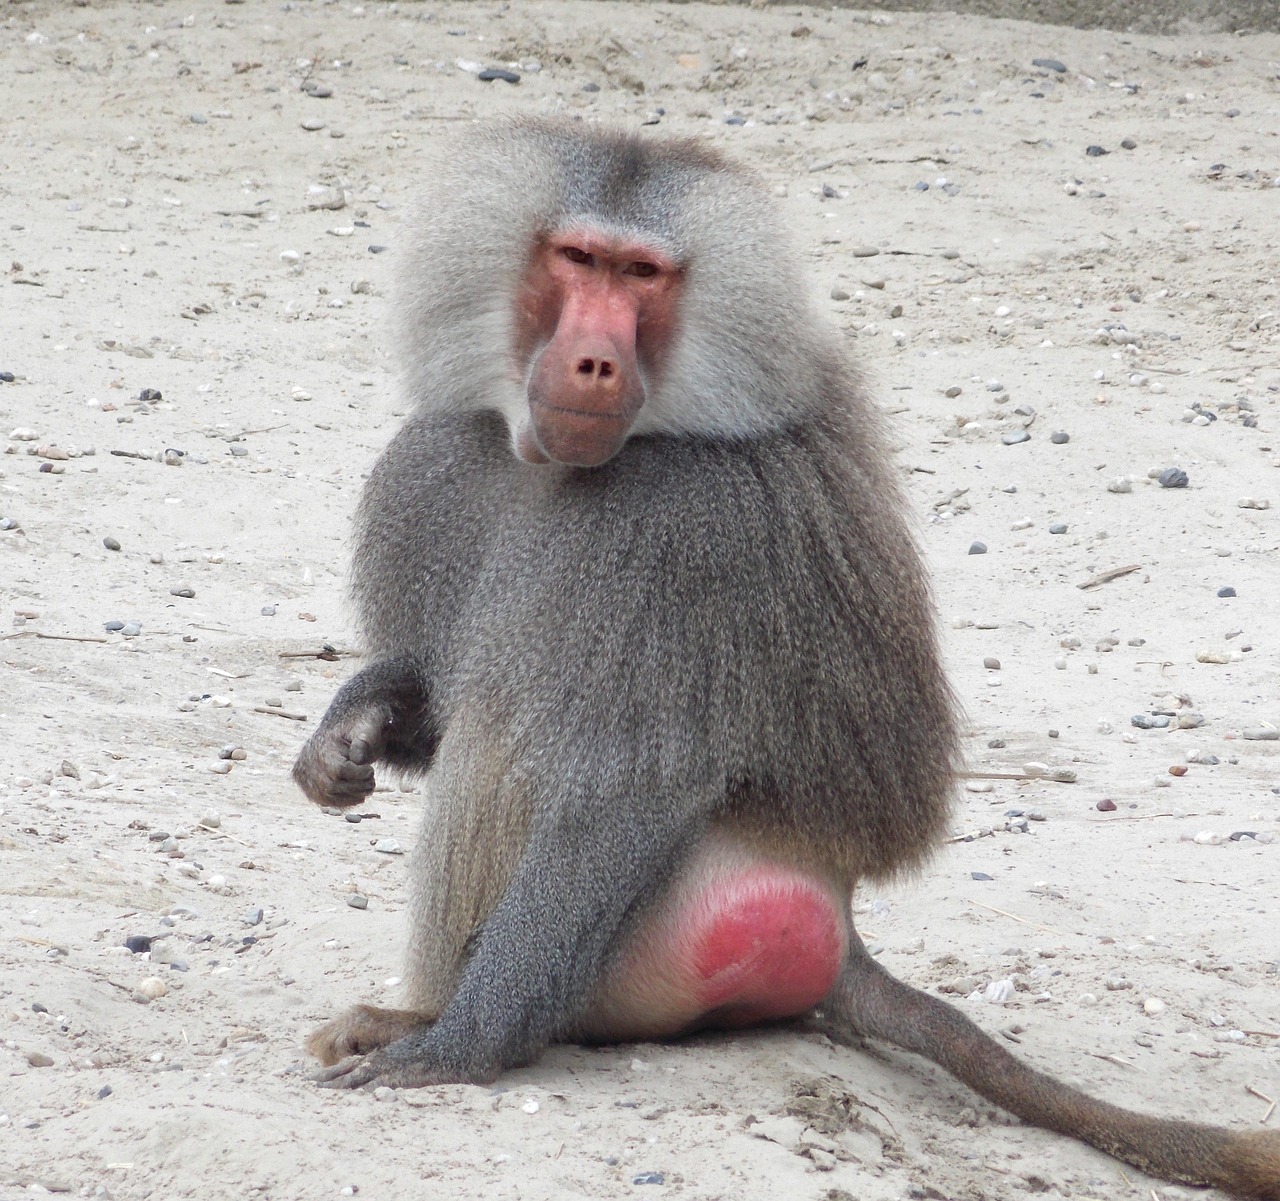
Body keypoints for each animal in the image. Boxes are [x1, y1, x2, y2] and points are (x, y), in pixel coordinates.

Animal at [292, 119, 1280, 1200]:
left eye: (643, 275)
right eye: (576, 260)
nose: (592, 362)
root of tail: (841, 925)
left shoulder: (687, 533)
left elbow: (627, 786)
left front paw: (450, 1051)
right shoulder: (440, 463)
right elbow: (432, 699)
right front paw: (354, 724)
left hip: (668, 940)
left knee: (517, 737)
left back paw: (427, 1018)